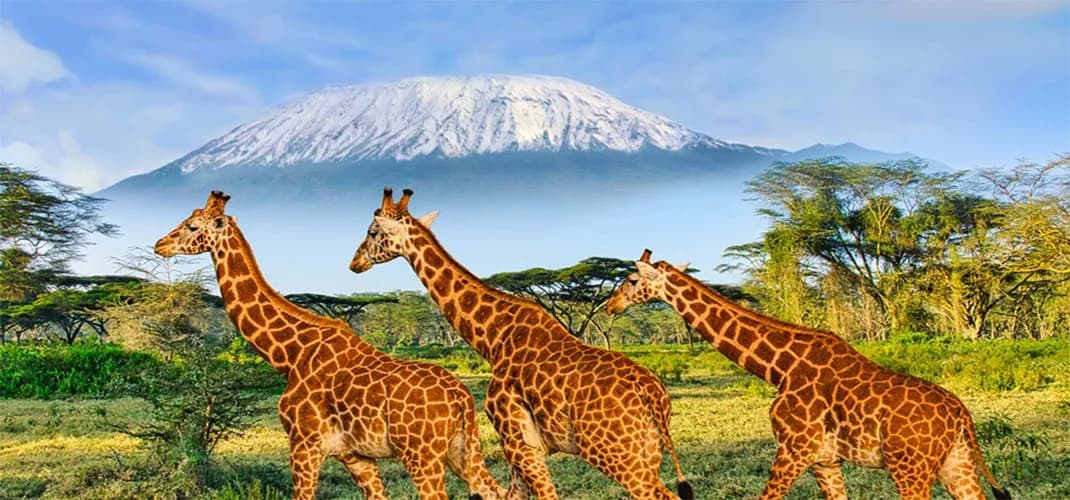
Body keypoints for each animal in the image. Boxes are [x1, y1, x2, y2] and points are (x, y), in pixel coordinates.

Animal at [153, 191, 506, 500]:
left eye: (192, 226)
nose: (160, 244)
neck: (289, 355)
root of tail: (462, 398)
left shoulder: (304, 444)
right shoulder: (356, 456)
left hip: (421, 455)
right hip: (462, 450)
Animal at [348, 188, 693, 500]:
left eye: (372, 231)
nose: (355, 262)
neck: (492, 338)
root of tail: (652, 394)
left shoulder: (518, 441)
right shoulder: (519, 444)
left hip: (613, 452)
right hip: (647, 449)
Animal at [605, 249, 1012, 500]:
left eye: (630, 281)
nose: (611, 305)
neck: (779, 369)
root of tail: (962, 416)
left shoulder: (794, 449)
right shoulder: (824, 459)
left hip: (910, 467)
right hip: (956, 464)